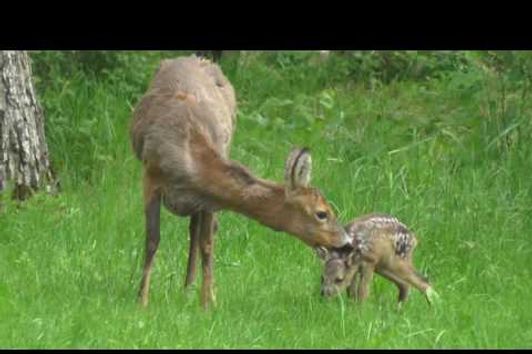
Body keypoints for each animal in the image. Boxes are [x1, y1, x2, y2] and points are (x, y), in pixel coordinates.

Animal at [130, 55, 352, 306]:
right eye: (322, 213)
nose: (347, 243)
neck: (188, 156)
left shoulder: (207, 199)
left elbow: (207, 244)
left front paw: (207, 302)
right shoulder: (151, 177)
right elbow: (152, 240)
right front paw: (142, 300)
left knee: (198, 232)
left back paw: (189, 288)